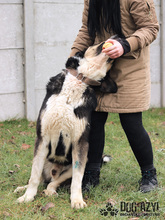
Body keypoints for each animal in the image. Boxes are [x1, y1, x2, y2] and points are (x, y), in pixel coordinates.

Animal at [14, 42, 116, 209]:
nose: (119, 38)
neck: (80, 80)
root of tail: (53, 172)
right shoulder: (42, 139)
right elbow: (34, 176)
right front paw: (27, 197)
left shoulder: (80, 143)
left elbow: (77, 180)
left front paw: (77, 201)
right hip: (42, 158)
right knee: (39, 179)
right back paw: (23, 188)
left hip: (80, 162)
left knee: (52, 183)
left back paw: (50, 191)